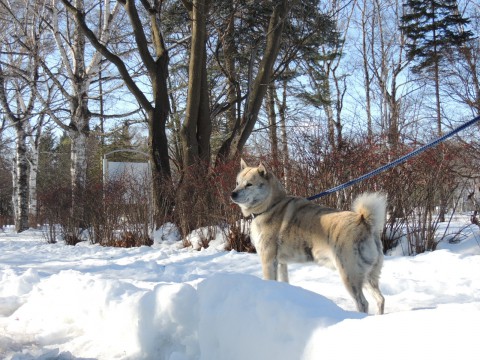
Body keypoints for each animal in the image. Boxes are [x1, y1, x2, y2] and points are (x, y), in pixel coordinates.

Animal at [232, 160, 386, 316]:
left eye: (249, 184)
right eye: (237, 182)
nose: (233, 194)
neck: (271, 205)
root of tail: (364, 221)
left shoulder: (268, 260)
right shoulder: (282, 263)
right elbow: (284, 281)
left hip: (349, 274)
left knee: (363, 303)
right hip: (369, 276)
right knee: (380, 299)